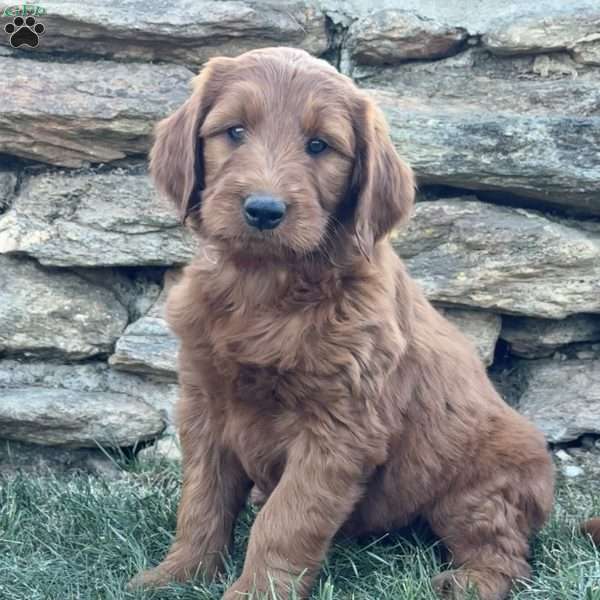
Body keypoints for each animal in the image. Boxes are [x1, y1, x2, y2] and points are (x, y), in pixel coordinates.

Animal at [130, 48, 556, 600]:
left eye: (319, 145)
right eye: (235, 132)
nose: (264, 209)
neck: (264, 287)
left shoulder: (338, 428)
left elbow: (284, 520)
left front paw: (255, 591)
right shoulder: (205, 406)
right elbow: (202, 501)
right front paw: (179, 574)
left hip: (479, 486)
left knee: (507, 553)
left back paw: (466, 582)